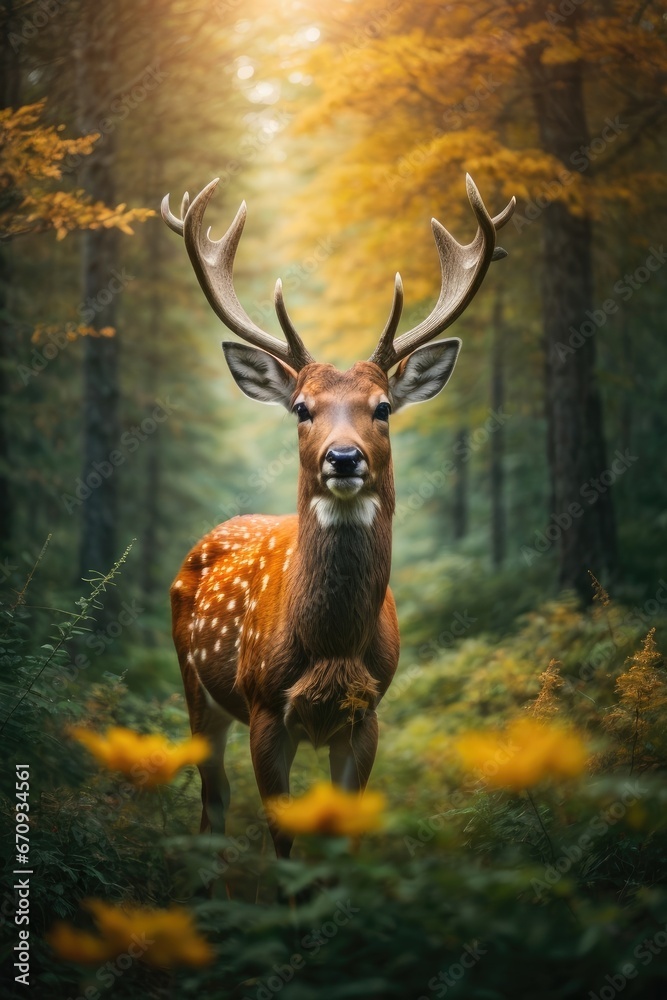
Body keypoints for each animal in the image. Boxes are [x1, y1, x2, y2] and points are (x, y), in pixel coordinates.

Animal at [162, 175, 514, 859]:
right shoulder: (266, 710)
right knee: (212, 803)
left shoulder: (366, 713)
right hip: (197, 687)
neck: (330, 650)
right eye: (302, 407)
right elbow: (284, 841)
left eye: (383, 407)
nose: (344, 457)